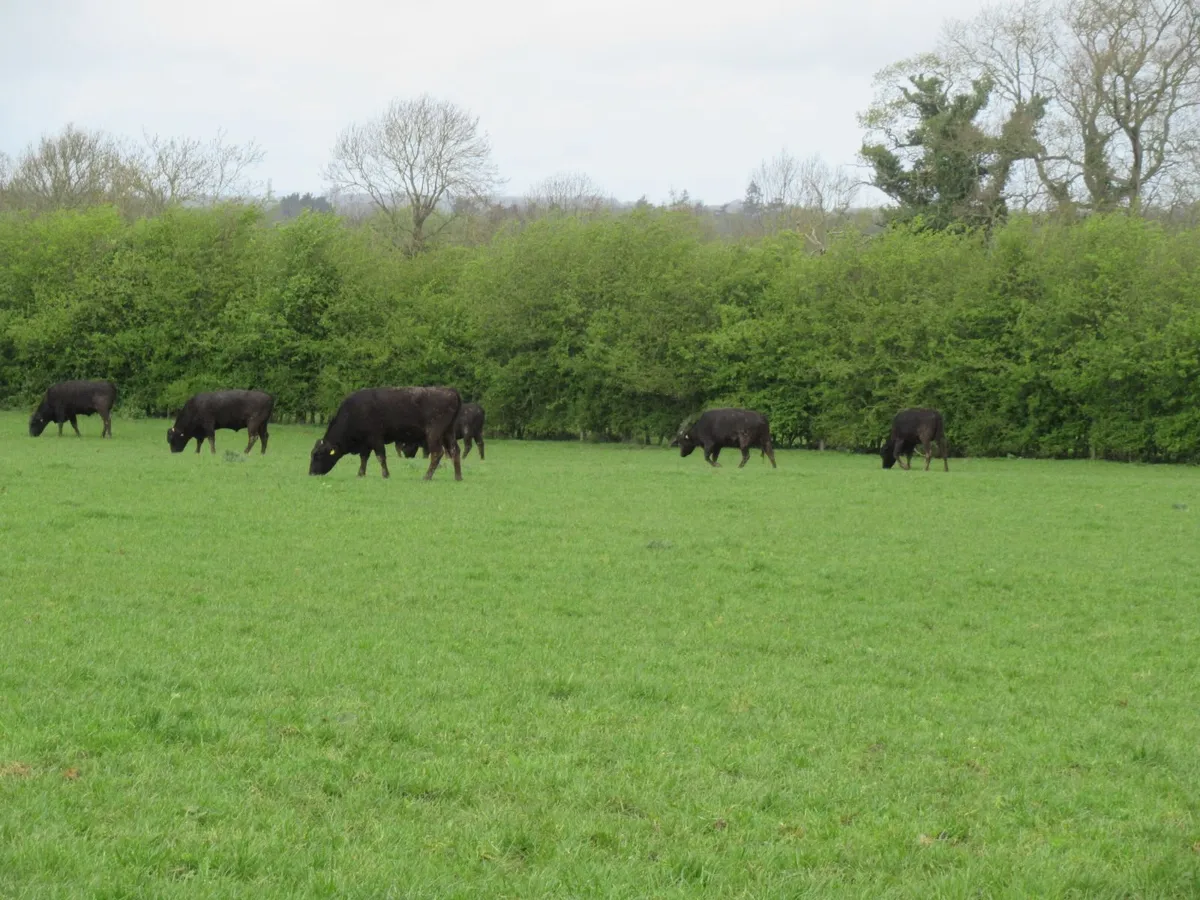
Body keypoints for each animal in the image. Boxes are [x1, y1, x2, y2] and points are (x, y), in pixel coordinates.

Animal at [309, 386, 463, 481]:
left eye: (318, 455)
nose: (311, 473)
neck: (355, 411)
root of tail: (450, 390)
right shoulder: (365, 443)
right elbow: (364, 458)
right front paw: (360, 474)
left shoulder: (376, 438)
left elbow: (380, 456)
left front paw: (385, 474)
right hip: (448, 433)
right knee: (455, 451)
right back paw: (458, 477)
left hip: (434, 435)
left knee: (437, 453)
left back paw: (426, 477)